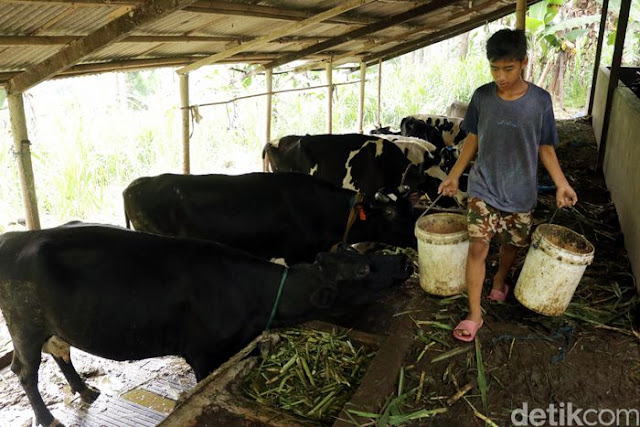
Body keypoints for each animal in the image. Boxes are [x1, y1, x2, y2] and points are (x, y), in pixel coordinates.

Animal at [0, 222, 412, 426]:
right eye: (364, 270)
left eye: (351, 251)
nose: (405, 261)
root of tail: (14, 236)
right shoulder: (205, 354)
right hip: (24, 325)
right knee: (24, 370)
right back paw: (48, 418)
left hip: (54, 324)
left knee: (60, 350)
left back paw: (85, 391)